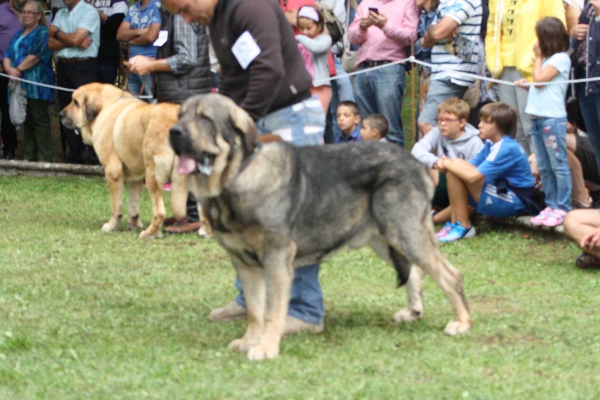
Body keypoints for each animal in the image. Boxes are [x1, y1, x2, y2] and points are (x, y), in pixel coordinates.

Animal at [60, 82, 188, 238]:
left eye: (75, 102)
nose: (60, 114)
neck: (106, 107)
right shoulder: (135, 177)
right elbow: (133, 205)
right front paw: (134, 224)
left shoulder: (112, 171)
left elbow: (117, 205)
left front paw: (111, 225)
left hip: (153, 176)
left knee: (159, 212)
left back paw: (150, 233)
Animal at [170, 94, 474, 362]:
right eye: (180, 115)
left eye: (205, 118)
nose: (174, 132)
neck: (238, 174)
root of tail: (417, 164)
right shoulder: (245, 263)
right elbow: (255, 311)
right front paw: (249, 341)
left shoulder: (276, 258)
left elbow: (271, 310)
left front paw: (266, 347)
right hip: (384, 237)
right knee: (416, 272)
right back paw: (413, 313)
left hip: (406, 231)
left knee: (451, 276)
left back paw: (461, 322)